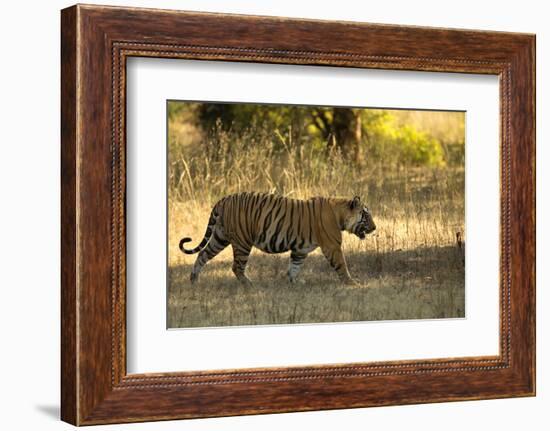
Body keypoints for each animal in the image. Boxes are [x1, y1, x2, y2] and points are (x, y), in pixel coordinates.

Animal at [179, 192, 378, 286]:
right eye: (366, 216)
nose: (375, 227)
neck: (340, 214)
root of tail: (223, 200)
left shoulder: (300, 249)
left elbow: (294, 266)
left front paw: (294, 282)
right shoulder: (333, 246)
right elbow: (342, 265)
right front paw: (352, 284)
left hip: (220, 237)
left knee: (202, 255)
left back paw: (194, 280)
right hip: (242, 242)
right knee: (236, 267)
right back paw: (250, 285)